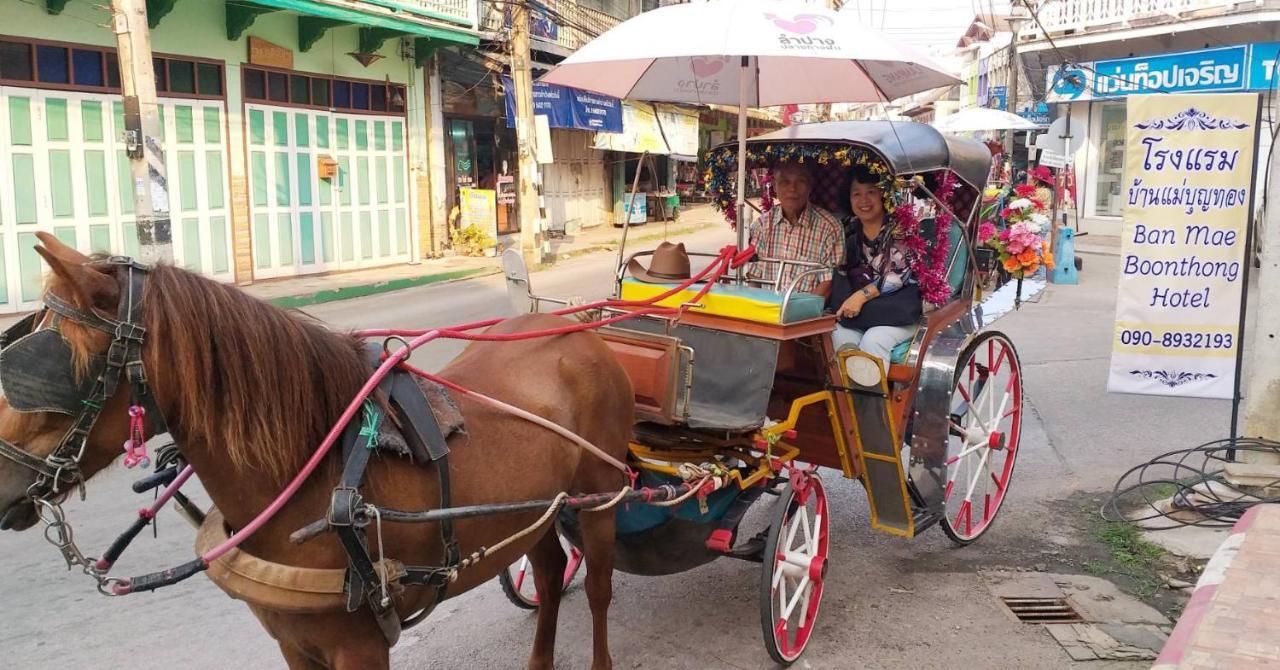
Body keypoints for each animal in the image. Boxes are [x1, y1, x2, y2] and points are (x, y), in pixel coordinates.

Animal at [0, 231, 634, 670]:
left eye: (44, 370)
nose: (3, 482)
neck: (314, 477)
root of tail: (577, 330)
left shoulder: (360, 648)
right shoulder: (293, 643)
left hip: (600, 497)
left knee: (598, 589)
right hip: (536, 510)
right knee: (548, 576)